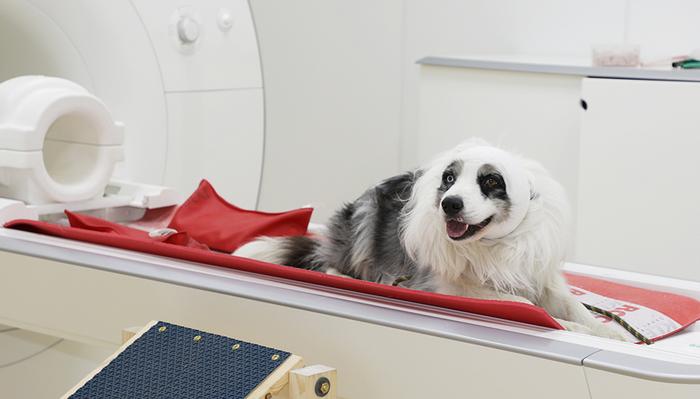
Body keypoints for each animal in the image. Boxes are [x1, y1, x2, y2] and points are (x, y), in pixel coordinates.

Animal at [235, 139, 624, 340]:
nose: (449, 203)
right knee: (332, 264)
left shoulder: (540, 275)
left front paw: (609, 333)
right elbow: (527, 305)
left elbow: (572, 305)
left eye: (491, 181)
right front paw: (571, 329)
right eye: (449, 179)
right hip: (365, 216)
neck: (492, 245)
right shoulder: (449, 285)